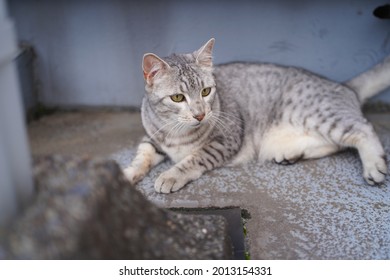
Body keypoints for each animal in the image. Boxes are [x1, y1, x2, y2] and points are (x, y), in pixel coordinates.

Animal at [125, 37, 390, 192]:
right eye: (178, 98)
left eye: (205, 91)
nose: (200, 115)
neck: (175, 132)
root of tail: (345, 86)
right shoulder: (152, 139)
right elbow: (142, 155)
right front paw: (127, 174)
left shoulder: (225, 141)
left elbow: (194, 158)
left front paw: (171, 175)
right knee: (337, 144)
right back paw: (290, 154)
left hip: (319, 114)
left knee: (362, 129)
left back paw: (374, 166)